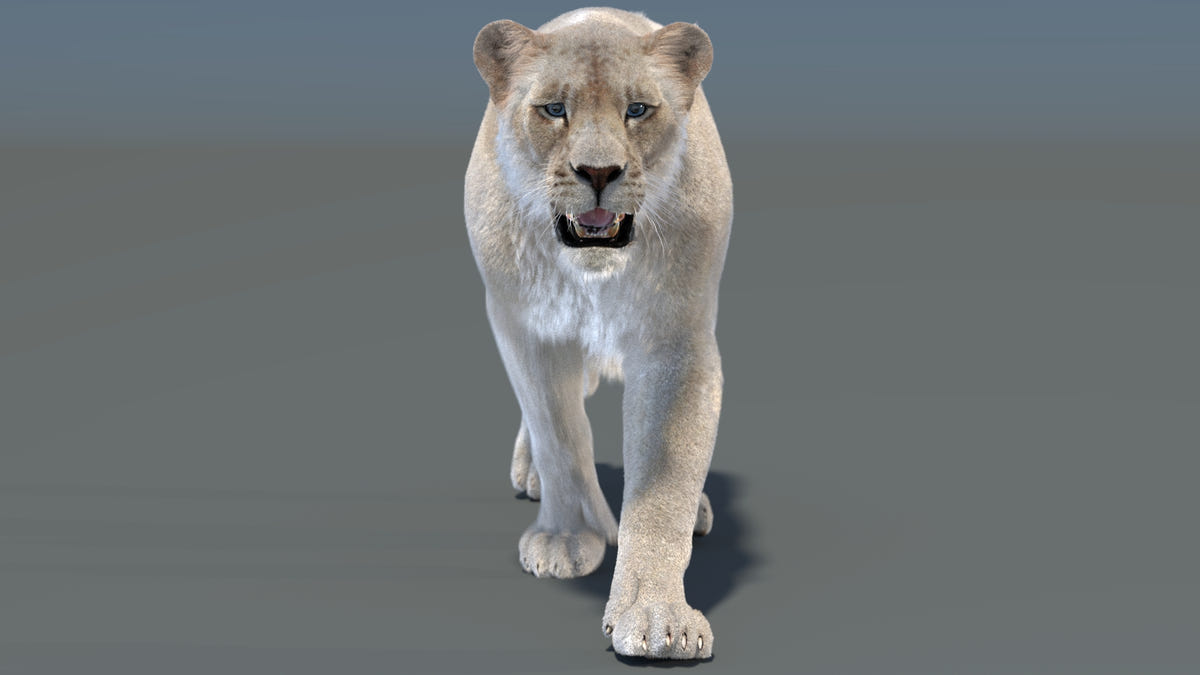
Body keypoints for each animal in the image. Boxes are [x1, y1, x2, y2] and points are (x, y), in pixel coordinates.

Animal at [464, 7, 732, 659]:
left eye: (637, 109)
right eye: (554, 109)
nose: (599, 172)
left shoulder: (677, 340)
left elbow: (663, 481)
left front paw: (657, 617)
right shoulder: (524, 325)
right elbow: (558, 433)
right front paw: (570, 538)